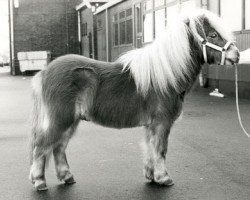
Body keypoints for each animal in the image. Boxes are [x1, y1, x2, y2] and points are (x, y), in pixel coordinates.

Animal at [29, 10, 240, 191]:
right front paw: (164, 178)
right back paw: (39, 182)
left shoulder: (151, 125)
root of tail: (45, 72)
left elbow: (150, 148)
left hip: (70, 122)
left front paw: (152, 176)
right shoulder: (161, 123)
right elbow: (160, 150)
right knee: (42, 146)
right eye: (213, 35)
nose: (236, 55)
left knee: (58, 147)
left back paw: (67, 177)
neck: (165, 75)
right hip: (61, 120)